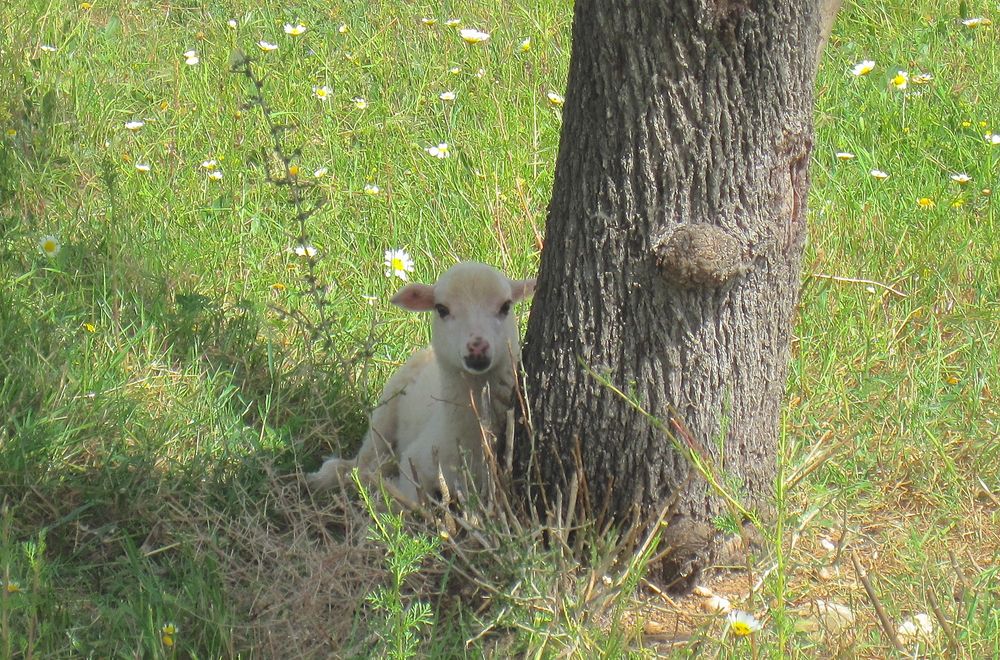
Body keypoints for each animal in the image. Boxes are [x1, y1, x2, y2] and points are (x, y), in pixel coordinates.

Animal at [306, 262, 536, 506]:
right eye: (441, 309)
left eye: (506, 306)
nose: (477, 348)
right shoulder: (415, 461)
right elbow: (411, 501)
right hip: (385, 411)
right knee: (359, 462)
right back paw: (323, 478)